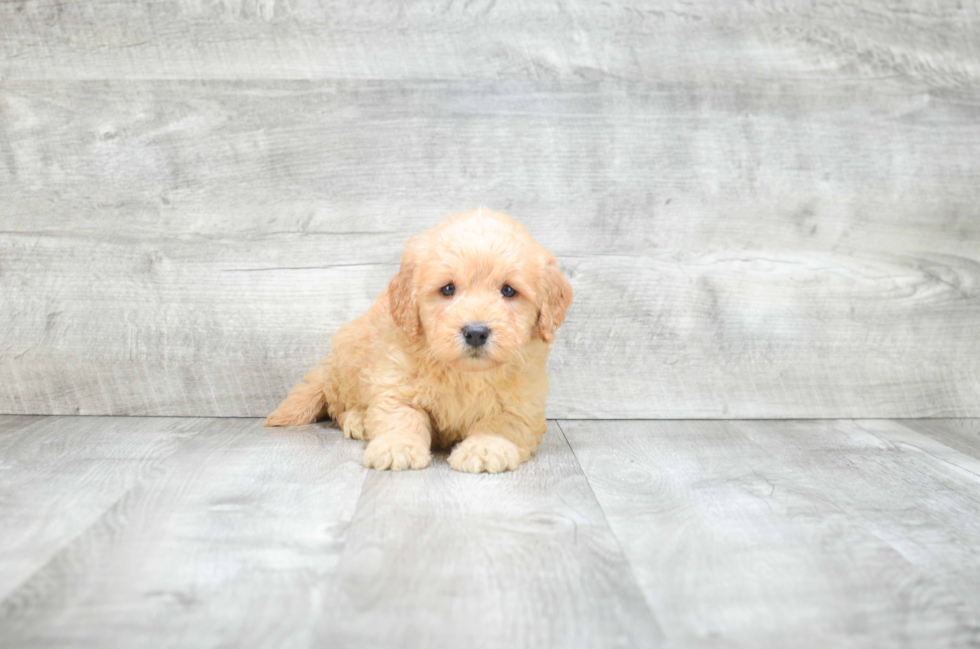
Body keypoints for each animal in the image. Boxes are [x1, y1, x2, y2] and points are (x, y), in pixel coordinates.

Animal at [264, 208, 580, 470]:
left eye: (509, 291)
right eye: (448, 289)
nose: (476, 332)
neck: (465, 374)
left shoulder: (523, 403)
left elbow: (502, 425)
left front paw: (485, 448)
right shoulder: (396, 384)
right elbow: (401, 416)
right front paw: (396, 446)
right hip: (352, 360)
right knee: (339, 406)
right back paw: (359, 420)